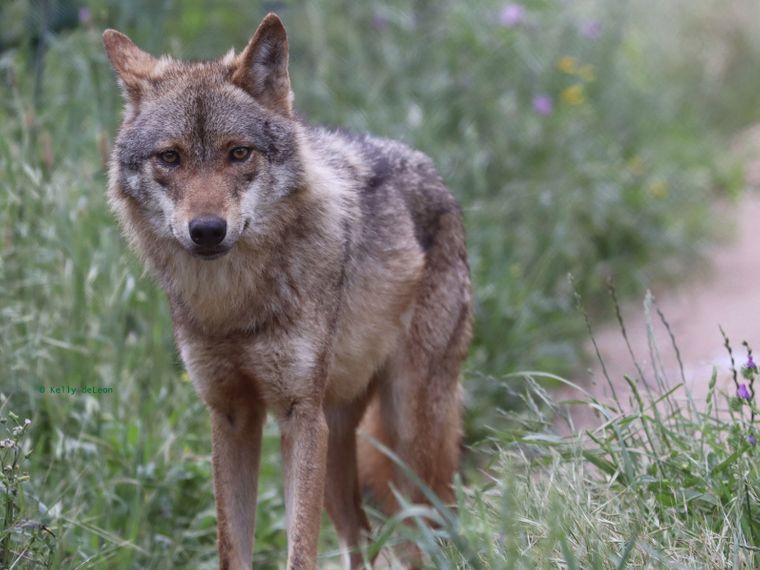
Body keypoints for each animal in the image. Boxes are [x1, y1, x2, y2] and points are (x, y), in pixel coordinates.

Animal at [101, 13, 470, 568]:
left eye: (238, 153)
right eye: (170, 157)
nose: (206, 230)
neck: (234, 306)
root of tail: (434, 175)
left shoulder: (299, 418)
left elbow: (300, 550)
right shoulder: (232, 416)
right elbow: (233, 547)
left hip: (407, 432)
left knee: (421, 532)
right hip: (339, 443)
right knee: (360, 538)